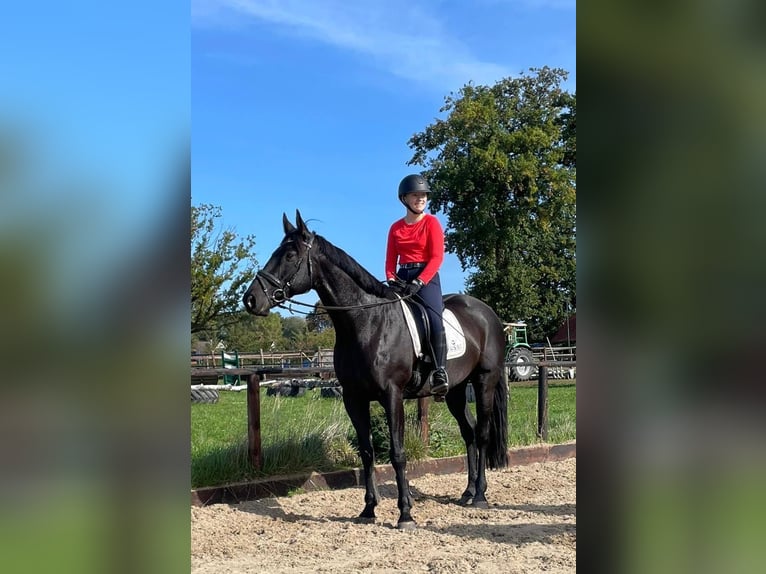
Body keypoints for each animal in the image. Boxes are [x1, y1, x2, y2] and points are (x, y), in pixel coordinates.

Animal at [246, 212, 510, 532]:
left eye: (290, 255)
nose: (251, 299)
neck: (366, 322)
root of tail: (488, 314)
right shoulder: (354, 398)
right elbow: (367, 452)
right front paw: (368, 509)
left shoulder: (392, 396)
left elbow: (397, 453)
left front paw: (405, 513)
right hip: (456, 390)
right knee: (469, 433)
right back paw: (468, 492)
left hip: (484, 381)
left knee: (482, 434)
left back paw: (480, 495)